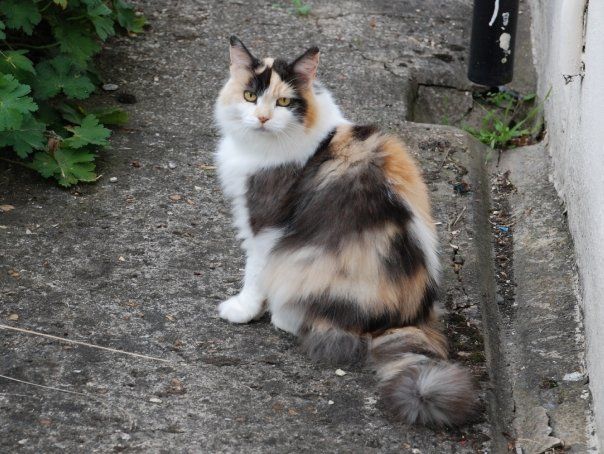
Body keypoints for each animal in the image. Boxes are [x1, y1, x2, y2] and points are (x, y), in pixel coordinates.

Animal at [212, 37, 476, 428]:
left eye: (284, 102)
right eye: (249, 96)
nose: (262, 118)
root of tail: (408, 317)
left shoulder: (265, 224)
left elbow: (254, 273)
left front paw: (243, 309)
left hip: (305, 264)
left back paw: (283, 316)